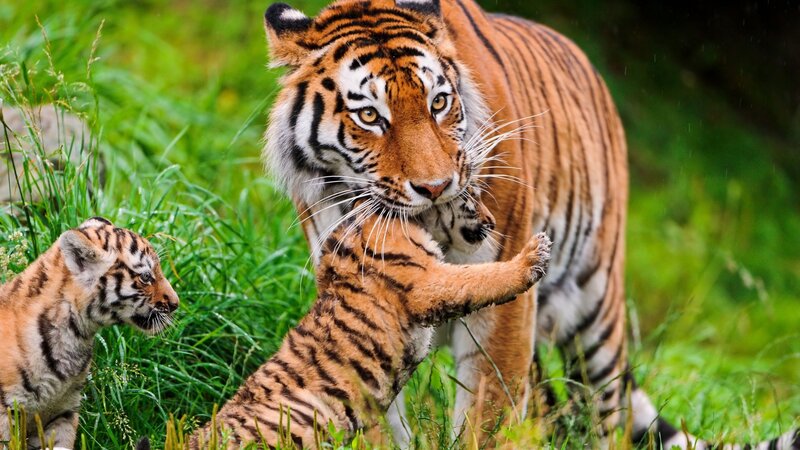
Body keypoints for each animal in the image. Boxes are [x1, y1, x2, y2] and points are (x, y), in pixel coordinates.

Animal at [186, 191, 551, 449]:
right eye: (471, 196)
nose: (492, 221)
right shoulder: (427, 282)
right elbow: (480, 277)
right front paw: (534, 255)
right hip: (299, 417)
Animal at [260, 0, 800, 448]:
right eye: (370, 116)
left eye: (438, 103)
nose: (435, 186)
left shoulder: (503, 308)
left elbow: (487, 418)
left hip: (597, 313)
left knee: (604, 416)